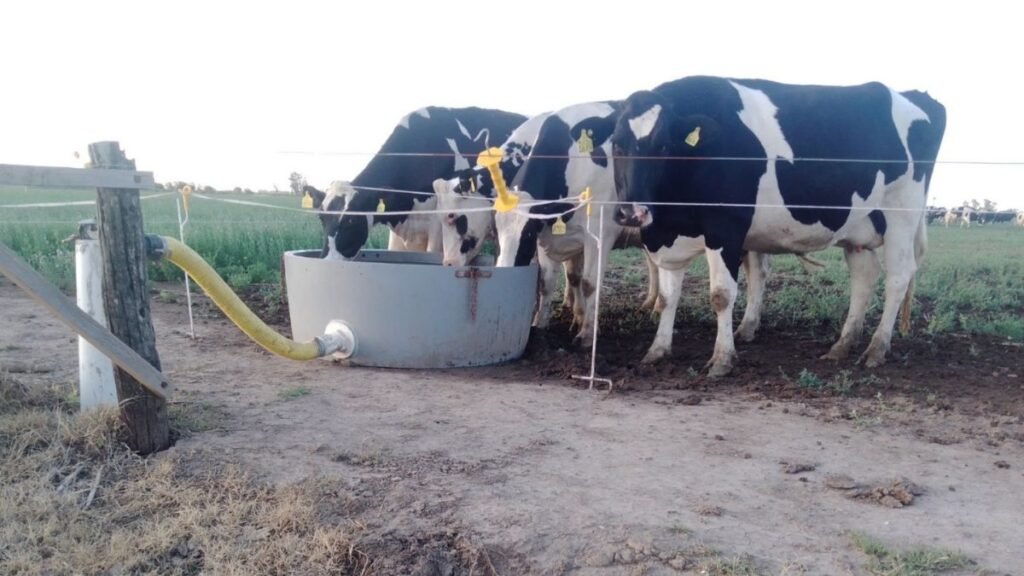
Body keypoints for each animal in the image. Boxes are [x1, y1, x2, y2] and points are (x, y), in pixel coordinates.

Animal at [611, 75, 946, 376]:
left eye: (663, 146)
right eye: (616, 145)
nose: (632, 213)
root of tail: (913, 95)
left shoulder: (726, 227)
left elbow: (721, 295)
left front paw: (722, 359)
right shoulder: (666, 237)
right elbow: (667, 298)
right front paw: (657, 350)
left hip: (901, 214)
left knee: (898, 277)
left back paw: (876, 348)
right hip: (859, 225)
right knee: (864, 277)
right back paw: (842, 345)